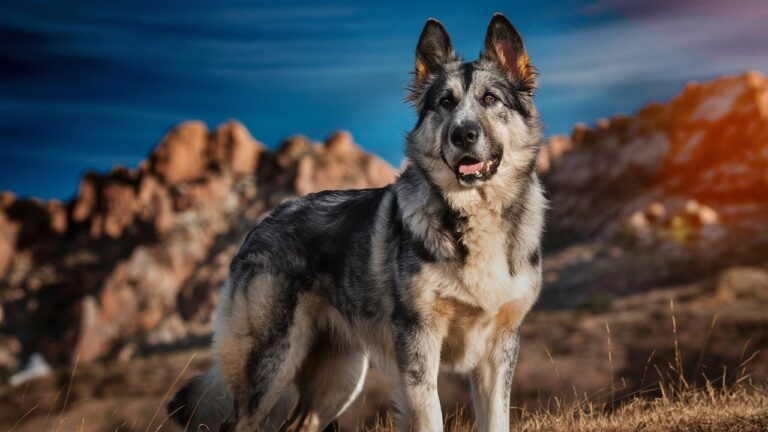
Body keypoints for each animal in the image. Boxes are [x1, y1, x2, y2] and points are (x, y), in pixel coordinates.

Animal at [170, 13, 544, 432]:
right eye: (445, 103)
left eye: (490, 99)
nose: (463, 134)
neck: (474, 214)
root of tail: (260, 225)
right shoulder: (418, 346)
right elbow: (430, 418)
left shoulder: (499, 353)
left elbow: (495, 419)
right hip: (272, 365)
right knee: (239, 423)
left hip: (339, 378)